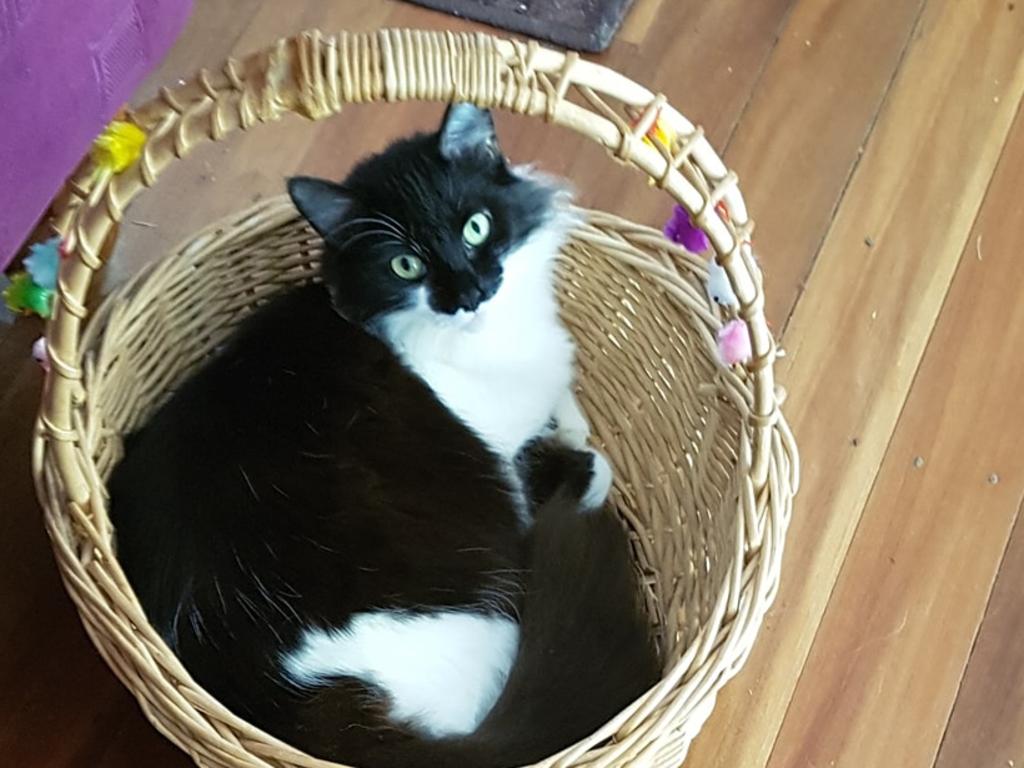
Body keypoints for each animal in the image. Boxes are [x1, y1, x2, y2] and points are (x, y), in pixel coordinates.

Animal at [112, 103, 655, 768]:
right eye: (405, 265)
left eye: (475, 228)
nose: (470, 293)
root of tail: (295, 706)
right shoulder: (508, 461)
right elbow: (574, 461)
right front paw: (582, 461)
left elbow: (566, 404)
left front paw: (571, 417)